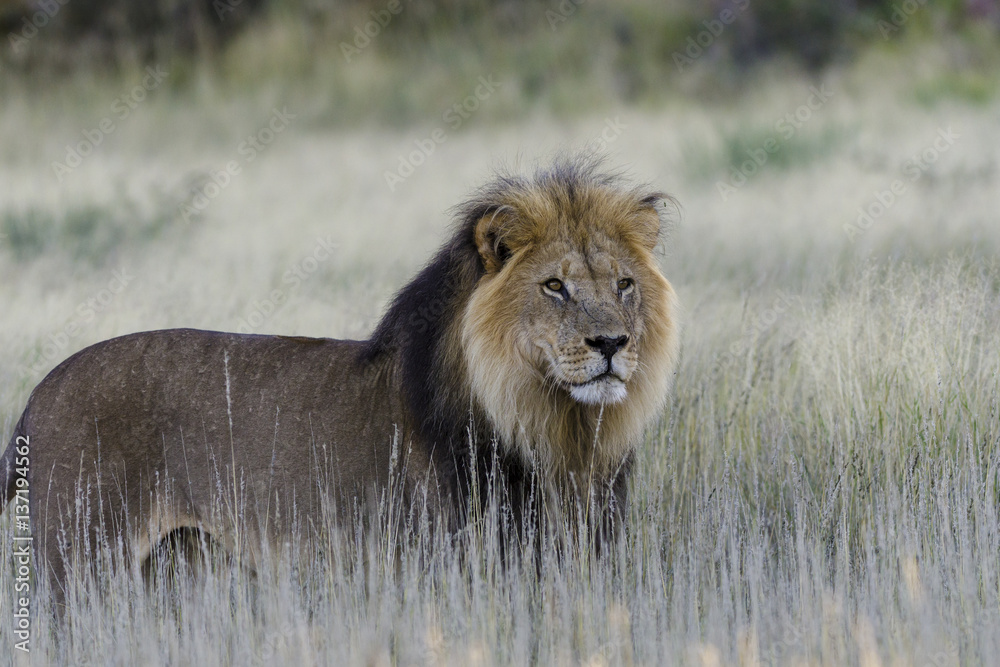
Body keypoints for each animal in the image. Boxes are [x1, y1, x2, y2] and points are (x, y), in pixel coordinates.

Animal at [0, 159, 680, 592]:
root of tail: (38, 393)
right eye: (555, 286)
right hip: (81, 562)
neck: (554, 428)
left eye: (624, 284)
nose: (612, 343)